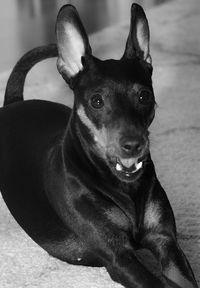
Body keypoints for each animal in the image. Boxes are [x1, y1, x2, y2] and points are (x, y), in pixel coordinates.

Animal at [0, 3, 198, 288]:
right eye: (96, 101)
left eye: (144, 96)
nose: (133, 145)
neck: (123, 187)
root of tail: (14, 102)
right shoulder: (119, 257)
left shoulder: (166, 243)